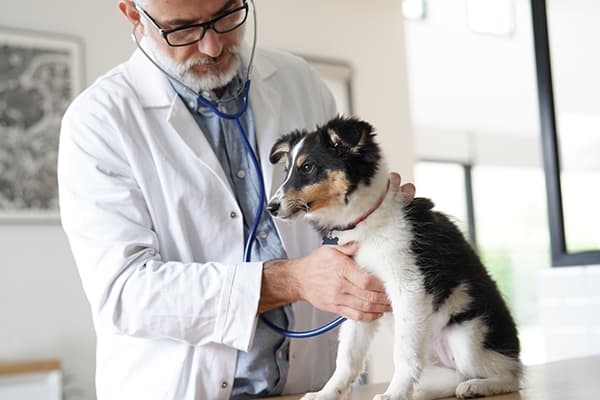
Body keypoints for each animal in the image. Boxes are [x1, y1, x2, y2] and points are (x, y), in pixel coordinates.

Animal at [268, 115, 520, 400]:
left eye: (308, 167)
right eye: (286, 170)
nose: (271, 207)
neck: (364, 220)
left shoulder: (408, 286)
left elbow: (403, 352)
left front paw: (394, 394)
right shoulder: (357, 295)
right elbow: (347, 356)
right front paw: (327, 393)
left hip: (467, 335)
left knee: (508, 376)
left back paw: (478, 386)